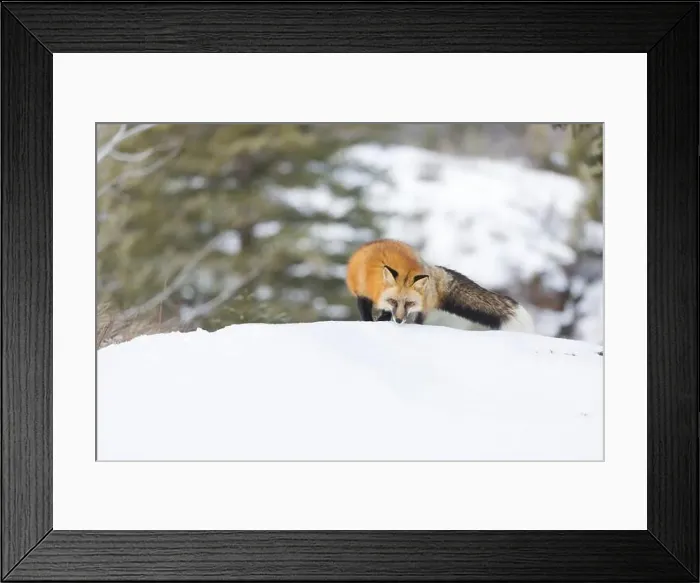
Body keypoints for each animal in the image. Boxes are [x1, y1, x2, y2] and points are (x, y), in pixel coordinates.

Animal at [345, 239, 535, 333]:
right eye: (393, 301)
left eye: (409, 303)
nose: (399, 321)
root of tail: (429, 268)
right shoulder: (363, 294)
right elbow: (367, 313)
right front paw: (370, 323)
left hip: (423, 307)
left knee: (420, 320)